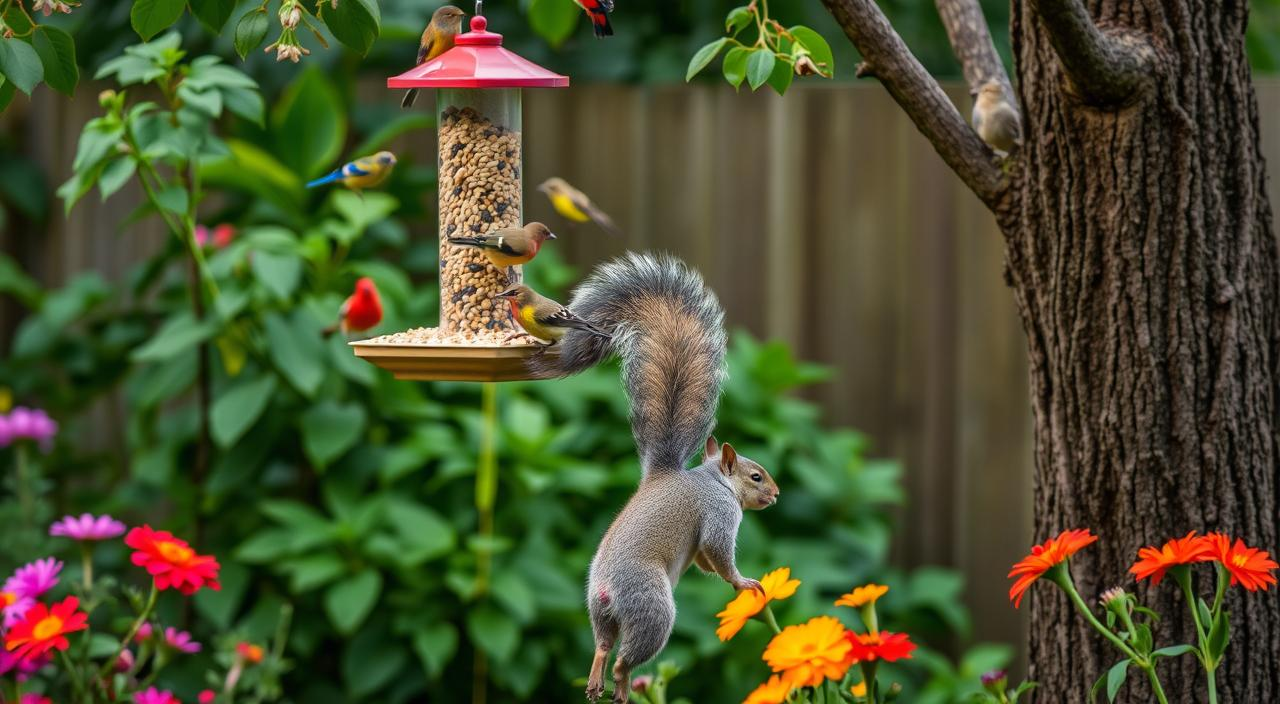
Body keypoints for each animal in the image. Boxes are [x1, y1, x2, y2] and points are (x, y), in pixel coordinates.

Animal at [528, 253, 781, 704]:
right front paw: (743, 582)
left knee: (603, 646)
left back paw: (597, 681)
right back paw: (621, 685)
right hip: (652, 610)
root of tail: (606, 589)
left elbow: (705, 559)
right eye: (756, 476)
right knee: (627, 658)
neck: (713, 480)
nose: (776, 493)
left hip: (600, 612)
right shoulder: (719, 514)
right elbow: (719, 554)